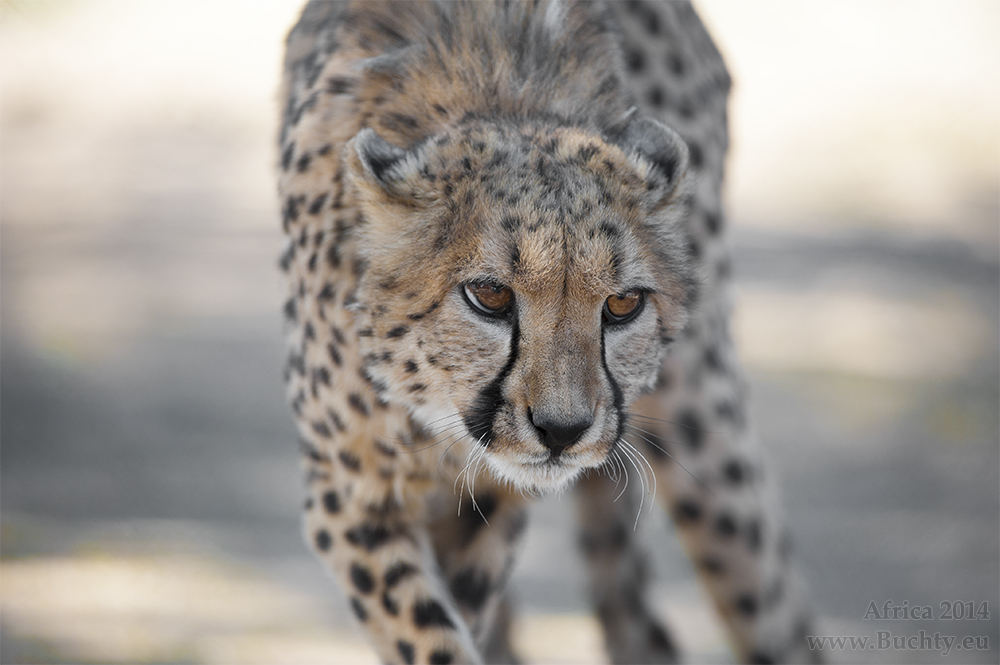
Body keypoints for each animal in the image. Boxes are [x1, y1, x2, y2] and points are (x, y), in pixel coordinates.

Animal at [280, 2, 820, 660]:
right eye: (489, 295)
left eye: (622, 304)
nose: (563, 431)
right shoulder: (348, 491)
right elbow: (428, 633)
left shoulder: (495, 499)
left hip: (706, 433)